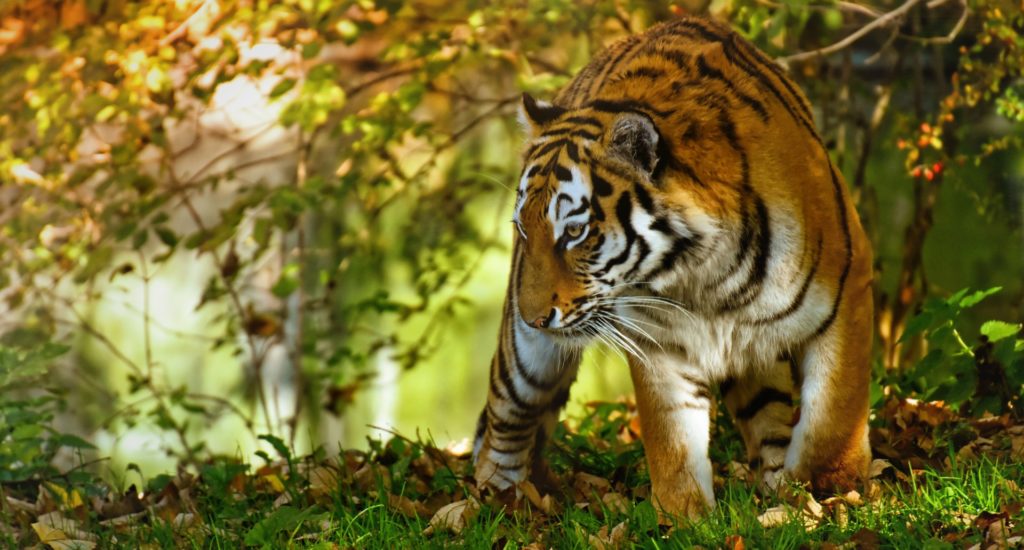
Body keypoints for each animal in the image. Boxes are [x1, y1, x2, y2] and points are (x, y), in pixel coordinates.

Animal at [471, 14, 874, 519]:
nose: (534, 317)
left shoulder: (847, 291)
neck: (704, 275)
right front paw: (686, 518)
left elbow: (833, 417)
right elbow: (673, 442)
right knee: (505, 421)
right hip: (525, 362)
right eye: (524, 229)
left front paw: (828, 491)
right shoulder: (657, 341)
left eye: (574, 232)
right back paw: (494, 503)